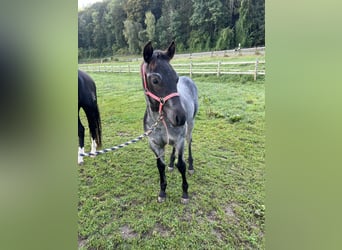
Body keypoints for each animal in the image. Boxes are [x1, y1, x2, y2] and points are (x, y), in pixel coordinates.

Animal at [141, 41, 199, 204]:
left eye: (176, 78)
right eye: (155, 80)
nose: (180, 117)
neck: (160, 122)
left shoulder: (180, 140)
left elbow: (182, 165)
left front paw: (185, 193)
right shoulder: (155, 144)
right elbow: (160, 165)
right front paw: (162, 192)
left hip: (190, 126)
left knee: (190, 142)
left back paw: (191, 166)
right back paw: (171, 164)